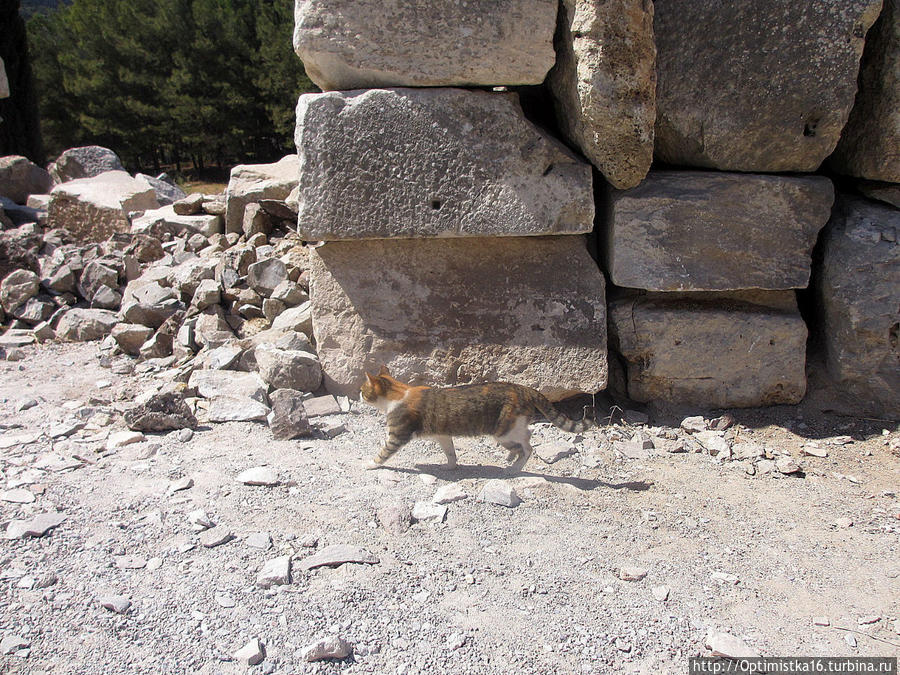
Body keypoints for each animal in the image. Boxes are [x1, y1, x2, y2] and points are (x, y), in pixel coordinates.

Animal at [362, 368, 596, 472]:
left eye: (364, 390)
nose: (358, 394)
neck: (399, 393)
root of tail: (522, 388)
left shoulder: (397, 434)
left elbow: (383, 452)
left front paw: (370, 464)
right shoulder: (443, 435)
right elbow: (450, 453)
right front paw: (450, 466)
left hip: (503, 431)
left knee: (527, 446)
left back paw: (513, 468)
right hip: (509, 430)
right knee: (524, 439)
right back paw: (510, 458)